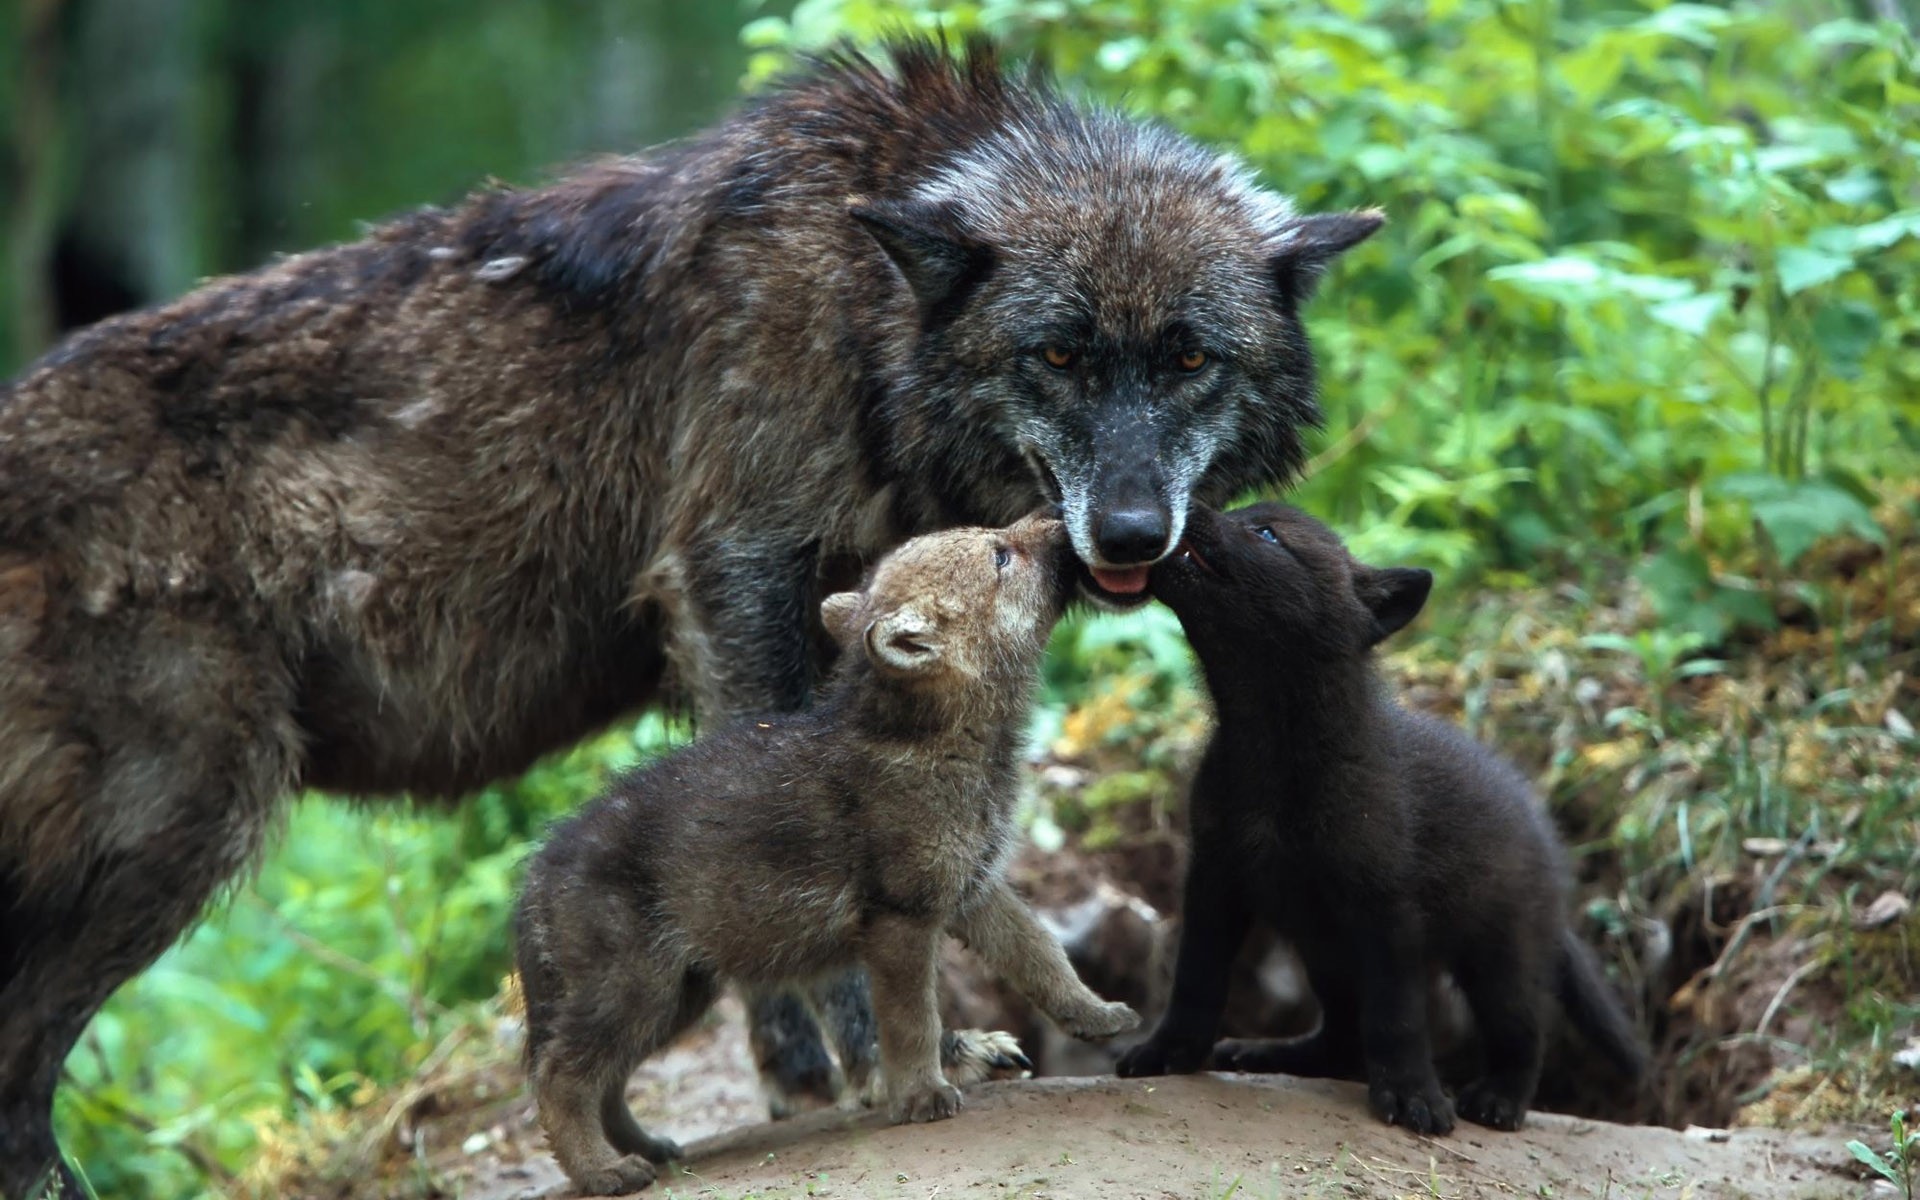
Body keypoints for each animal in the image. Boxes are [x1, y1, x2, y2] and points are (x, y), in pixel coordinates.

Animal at [516, 514, 1136, 1194]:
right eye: (1001, 555)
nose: (1056, 520)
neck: (938, 742)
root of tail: (535, 876)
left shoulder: (972, 890)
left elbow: (1042, 955)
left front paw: (1097, 1013)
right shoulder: (899, 919)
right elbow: (911, 1018)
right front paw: (922, 1096)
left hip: (678, 993)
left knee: (604, 1081)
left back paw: (648, 1150)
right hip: (633, 988)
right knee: (560, 1079)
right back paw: (605, 1172)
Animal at [1115, 503, 1646, 1133]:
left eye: (1266, 533)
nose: (1186, 506)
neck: (1273, 751)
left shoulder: (1386, 907)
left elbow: (1399, 1017)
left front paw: (1414, 1095)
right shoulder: (1215, 878)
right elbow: (1195, 980)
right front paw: (1168, 1052)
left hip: (1502, 955)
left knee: (1522, 1031)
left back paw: (1499, 1100)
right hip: (1326, 950)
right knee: (1342, 1038)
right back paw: (1270, 1053)